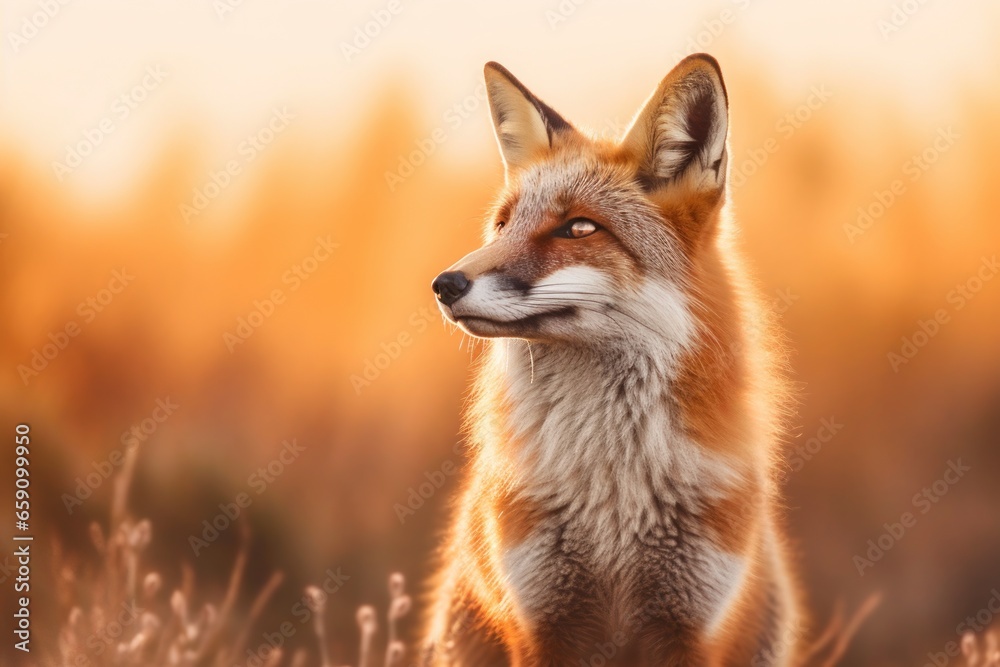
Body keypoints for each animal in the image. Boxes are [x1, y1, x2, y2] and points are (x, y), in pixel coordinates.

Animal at [423, 54, 804, 666]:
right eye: (503, 225)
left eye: (579, 228)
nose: (444, 284)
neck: (612, 506)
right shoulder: (544, 622)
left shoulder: (690, 625)